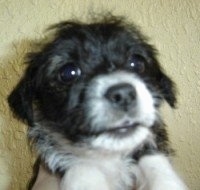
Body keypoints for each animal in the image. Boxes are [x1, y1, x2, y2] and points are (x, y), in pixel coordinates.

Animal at [7, 15, 187, 190]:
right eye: (68, 73)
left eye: (136, 63)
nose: (123, 94)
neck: (109, 156)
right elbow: (82, 168)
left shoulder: (150, 148)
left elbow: (155, 162)